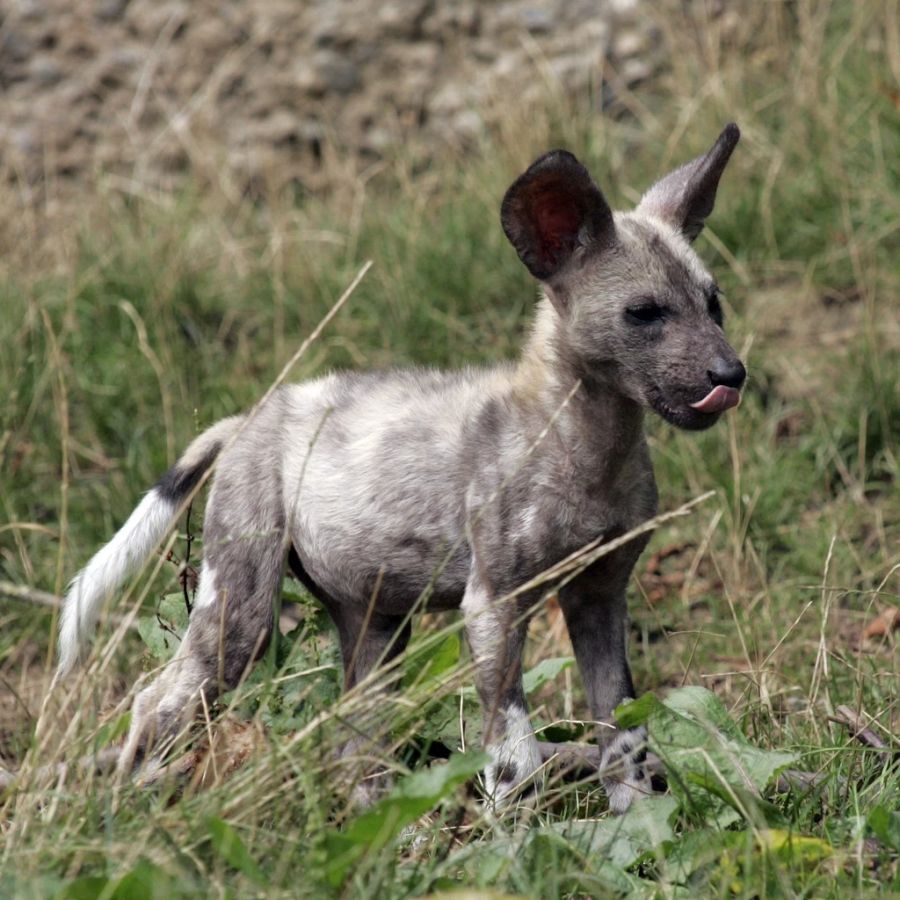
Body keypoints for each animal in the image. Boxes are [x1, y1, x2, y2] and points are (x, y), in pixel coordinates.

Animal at [56, 126, 744, 816]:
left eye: (713, 305)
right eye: (646, 313)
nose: (731, 374)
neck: (589, 449)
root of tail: (247, 418)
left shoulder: (599, 597)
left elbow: (624, 736)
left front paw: (641, 824)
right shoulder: (493, 604)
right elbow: (513, 759)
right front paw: (516, 834)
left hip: (377, 630)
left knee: (353, 744)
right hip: (239, 614)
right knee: (157, 700)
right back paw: (123, 813)